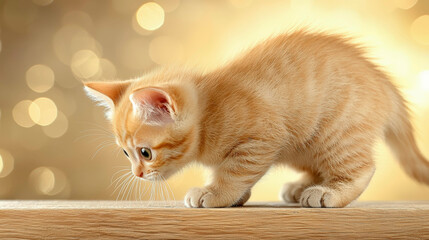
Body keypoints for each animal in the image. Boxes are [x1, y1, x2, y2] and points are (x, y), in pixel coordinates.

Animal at [83, 30, 428, 207]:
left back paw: (328, 192)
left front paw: (216, 193)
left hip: (334, 132)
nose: (138, 174)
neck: (210, 112)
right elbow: (232, 171)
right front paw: (233, 195)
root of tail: (383, 81)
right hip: (305, 144)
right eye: (125, 153)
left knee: (362, 168)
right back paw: (302, 186)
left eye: (145, 153)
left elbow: (235, 171)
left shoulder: (263, 137)